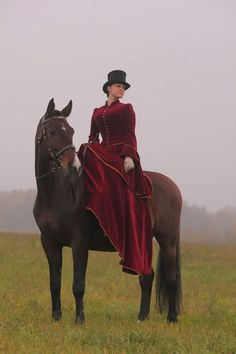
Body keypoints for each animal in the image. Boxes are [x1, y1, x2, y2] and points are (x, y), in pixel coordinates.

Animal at [33, 98, 182, 324]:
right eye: (52, 132)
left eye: (71, 131)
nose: (73, 167)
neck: (57, 193)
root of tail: (173, 187)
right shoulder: (49, 242)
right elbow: (54, 282)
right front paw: (56, 318)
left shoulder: (79, 241)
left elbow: (78, 284)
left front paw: (79, 320)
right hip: (142, 242)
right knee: (147, 276)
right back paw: (142, 317)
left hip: (168, 241)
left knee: (171, 278)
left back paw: (172, 318)